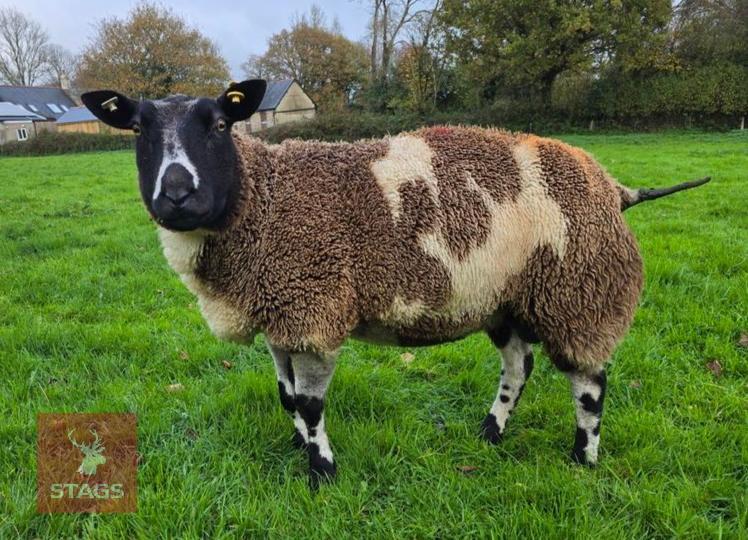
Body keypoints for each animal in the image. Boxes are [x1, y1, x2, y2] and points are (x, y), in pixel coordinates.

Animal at [82, 80, 710, 484]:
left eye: (218, 124)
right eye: (135, 129)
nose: (176, 194)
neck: (264, 198)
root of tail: (613, 185)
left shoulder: (314, 307)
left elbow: (310, 402)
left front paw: (322, 470)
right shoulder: (280, 312)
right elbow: (286, 395)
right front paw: (298, 445)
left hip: (580, 290)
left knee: (590, 383)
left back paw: (584, 458)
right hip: (504, 297)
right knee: (519, 366)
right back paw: (490, 433)